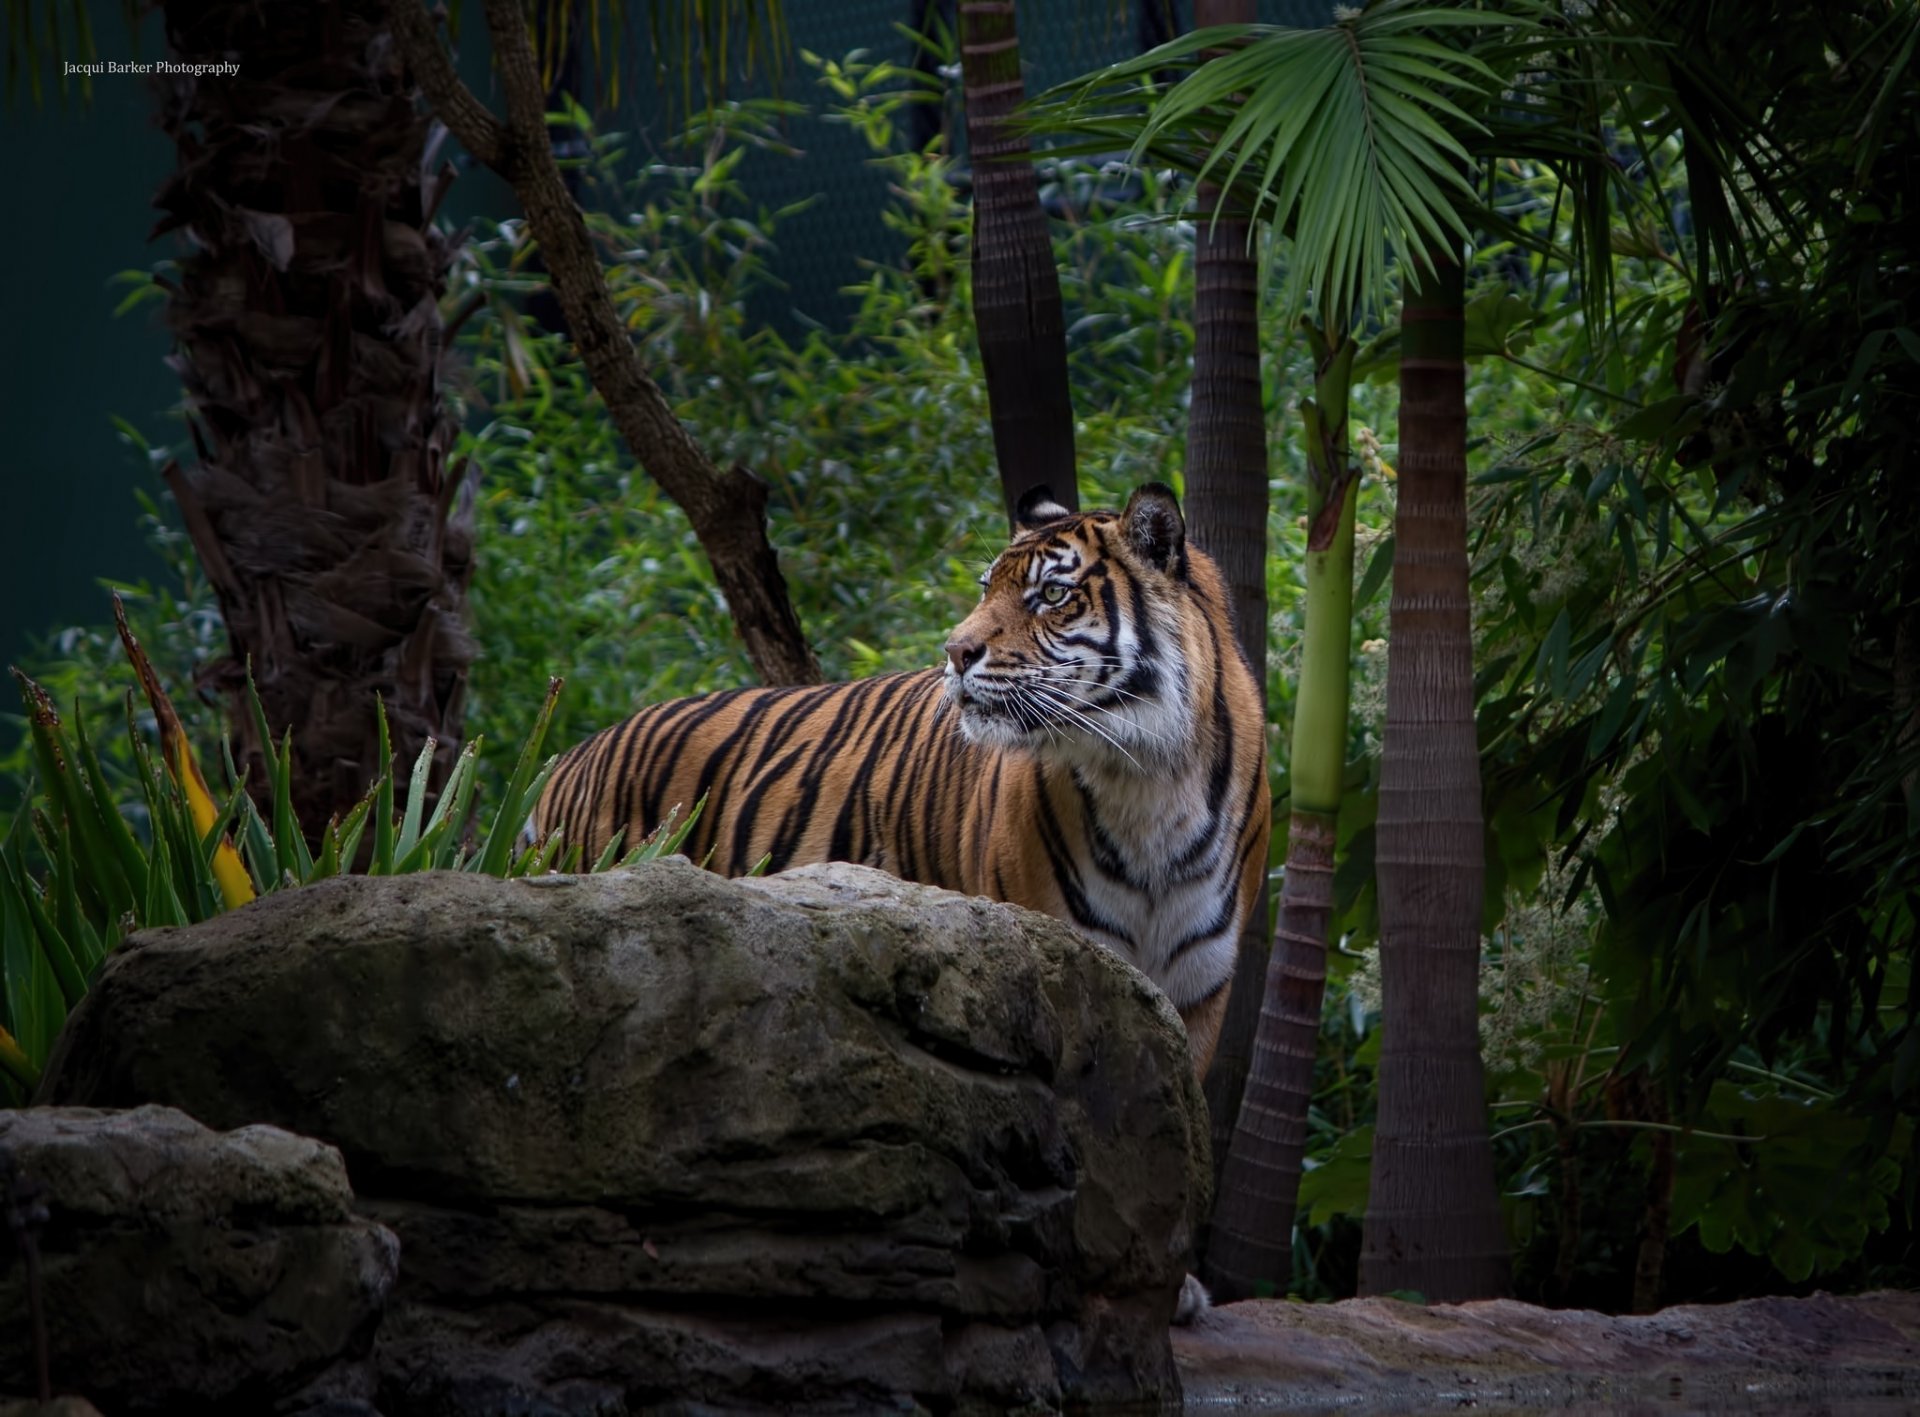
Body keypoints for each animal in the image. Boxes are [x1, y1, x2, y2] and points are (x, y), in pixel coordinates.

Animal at [534, 482, 1271, 1082]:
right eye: (986, 587)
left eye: (1053, 594)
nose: (955, 651)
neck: (1147, 778)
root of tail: (565, 759)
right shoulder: (1062, 958)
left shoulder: (1196, 995)